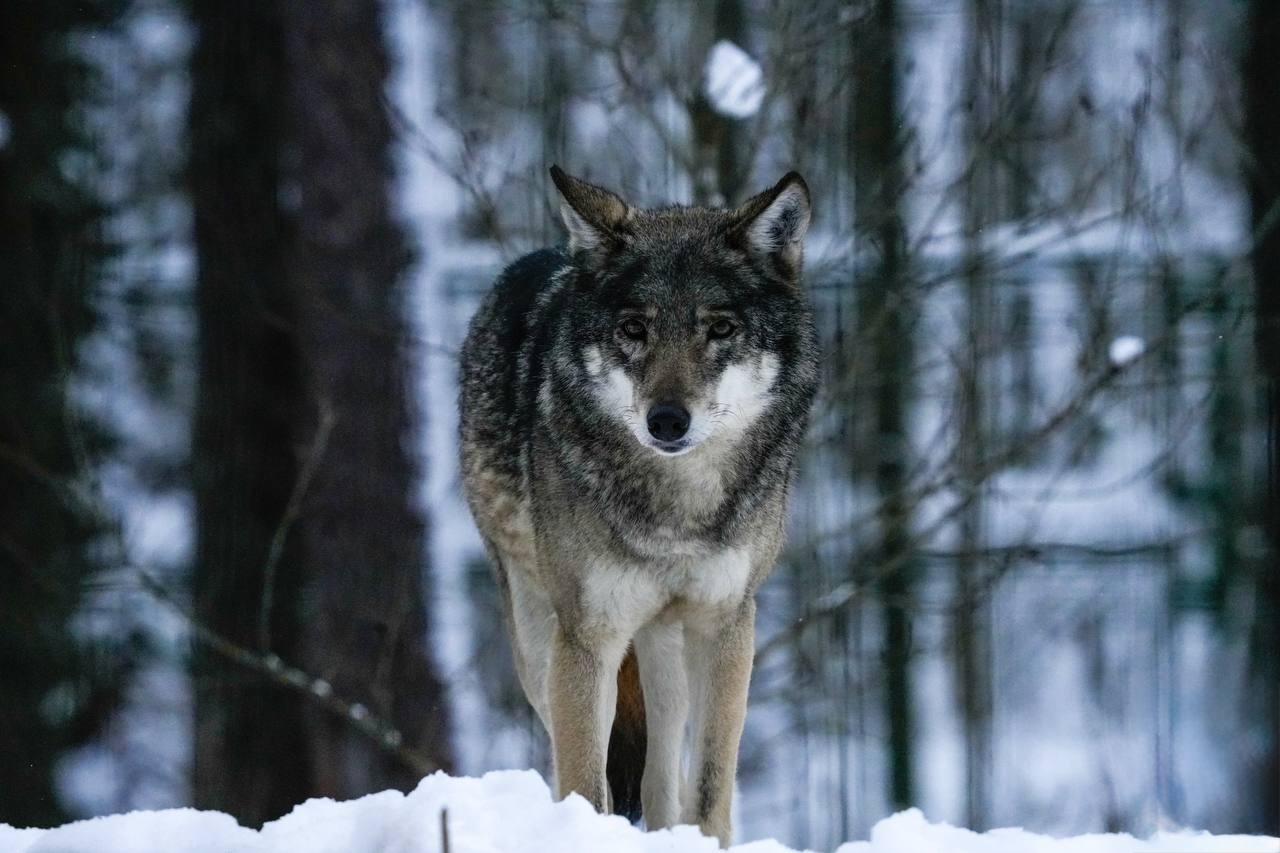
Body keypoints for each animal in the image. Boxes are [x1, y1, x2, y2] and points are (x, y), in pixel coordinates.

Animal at [458, 166, 818, 846]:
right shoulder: (586, 638)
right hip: (539, 638)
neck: (676, 510)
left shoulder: (726, 624)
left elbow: (709, 789)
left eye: (719, 329)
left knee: (662, 777)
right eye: (634, 329)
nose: (667, 421)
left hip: (664, 651)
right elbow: (584, 782)